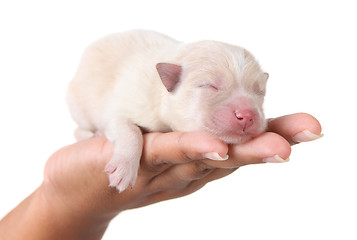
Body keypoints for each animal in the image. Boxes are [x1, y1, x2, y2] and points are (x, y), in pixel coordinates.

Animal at [66, 30, 268, 192]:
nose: (248, 115)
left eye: (259, 92)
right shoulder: (121, 106)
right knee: (78, 130)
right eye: (209, 86)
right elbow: (129, 131)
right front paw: (123, 168)